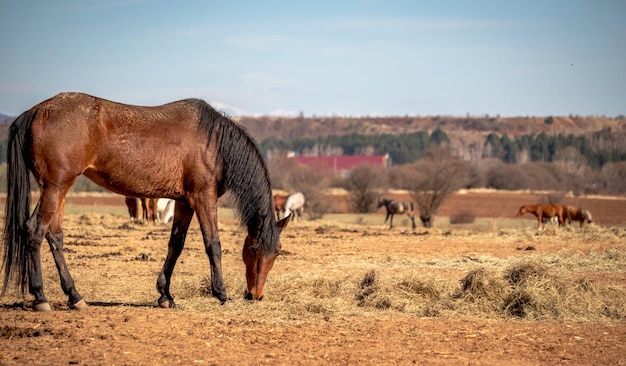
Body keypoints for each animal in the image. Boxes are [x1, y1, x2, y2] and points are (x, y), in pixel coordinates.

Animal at [1, 92, 290, 312]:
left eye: (276, 252)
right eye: (252, 248)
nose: (256, 294)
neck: (215, 143)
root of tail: (36, 111)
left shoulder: (184, 202)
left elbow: (176, 245)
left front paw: (165, 295)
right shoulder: (203, 197)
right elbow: (213, 245)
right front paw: (221, 293)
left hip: (58, 188)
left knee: (55, 236)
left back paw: (75, 297)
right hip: (55, 187)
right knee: (34, 231)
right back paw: (41, 298)